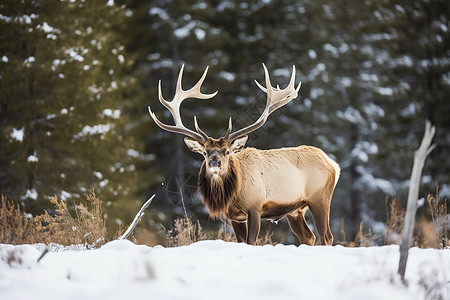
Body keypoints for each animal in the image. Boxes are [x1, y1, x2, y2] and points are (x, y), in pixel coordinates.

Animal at [149, 64, 342, 245]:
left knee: (326, 236)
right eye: (204, 152)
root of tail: (333, 164)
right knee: (308, 237)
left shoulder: (255, 207)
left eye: (227, 151)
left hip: (320, 198)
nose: (214, 163)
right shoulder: (234, 217)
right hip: (295, 210)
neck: (234, 195)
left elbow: (251, 242)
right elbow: (241, 242)